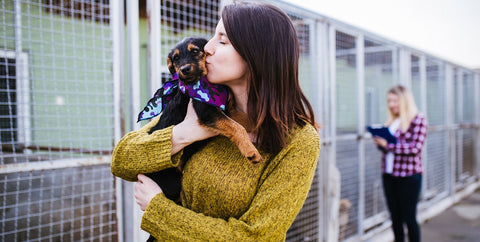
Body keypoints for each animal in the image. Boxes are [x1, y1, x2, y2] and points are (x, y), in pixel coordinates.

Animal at [137, 37, 262, 203]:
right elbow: (237, 127)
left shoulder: (227, 109)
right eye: (176, 58)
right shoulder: (207, 111)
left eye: (195, 51)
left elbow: (244, 119)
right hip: (172, 182)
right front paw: (251, 151)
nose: (184, 69)